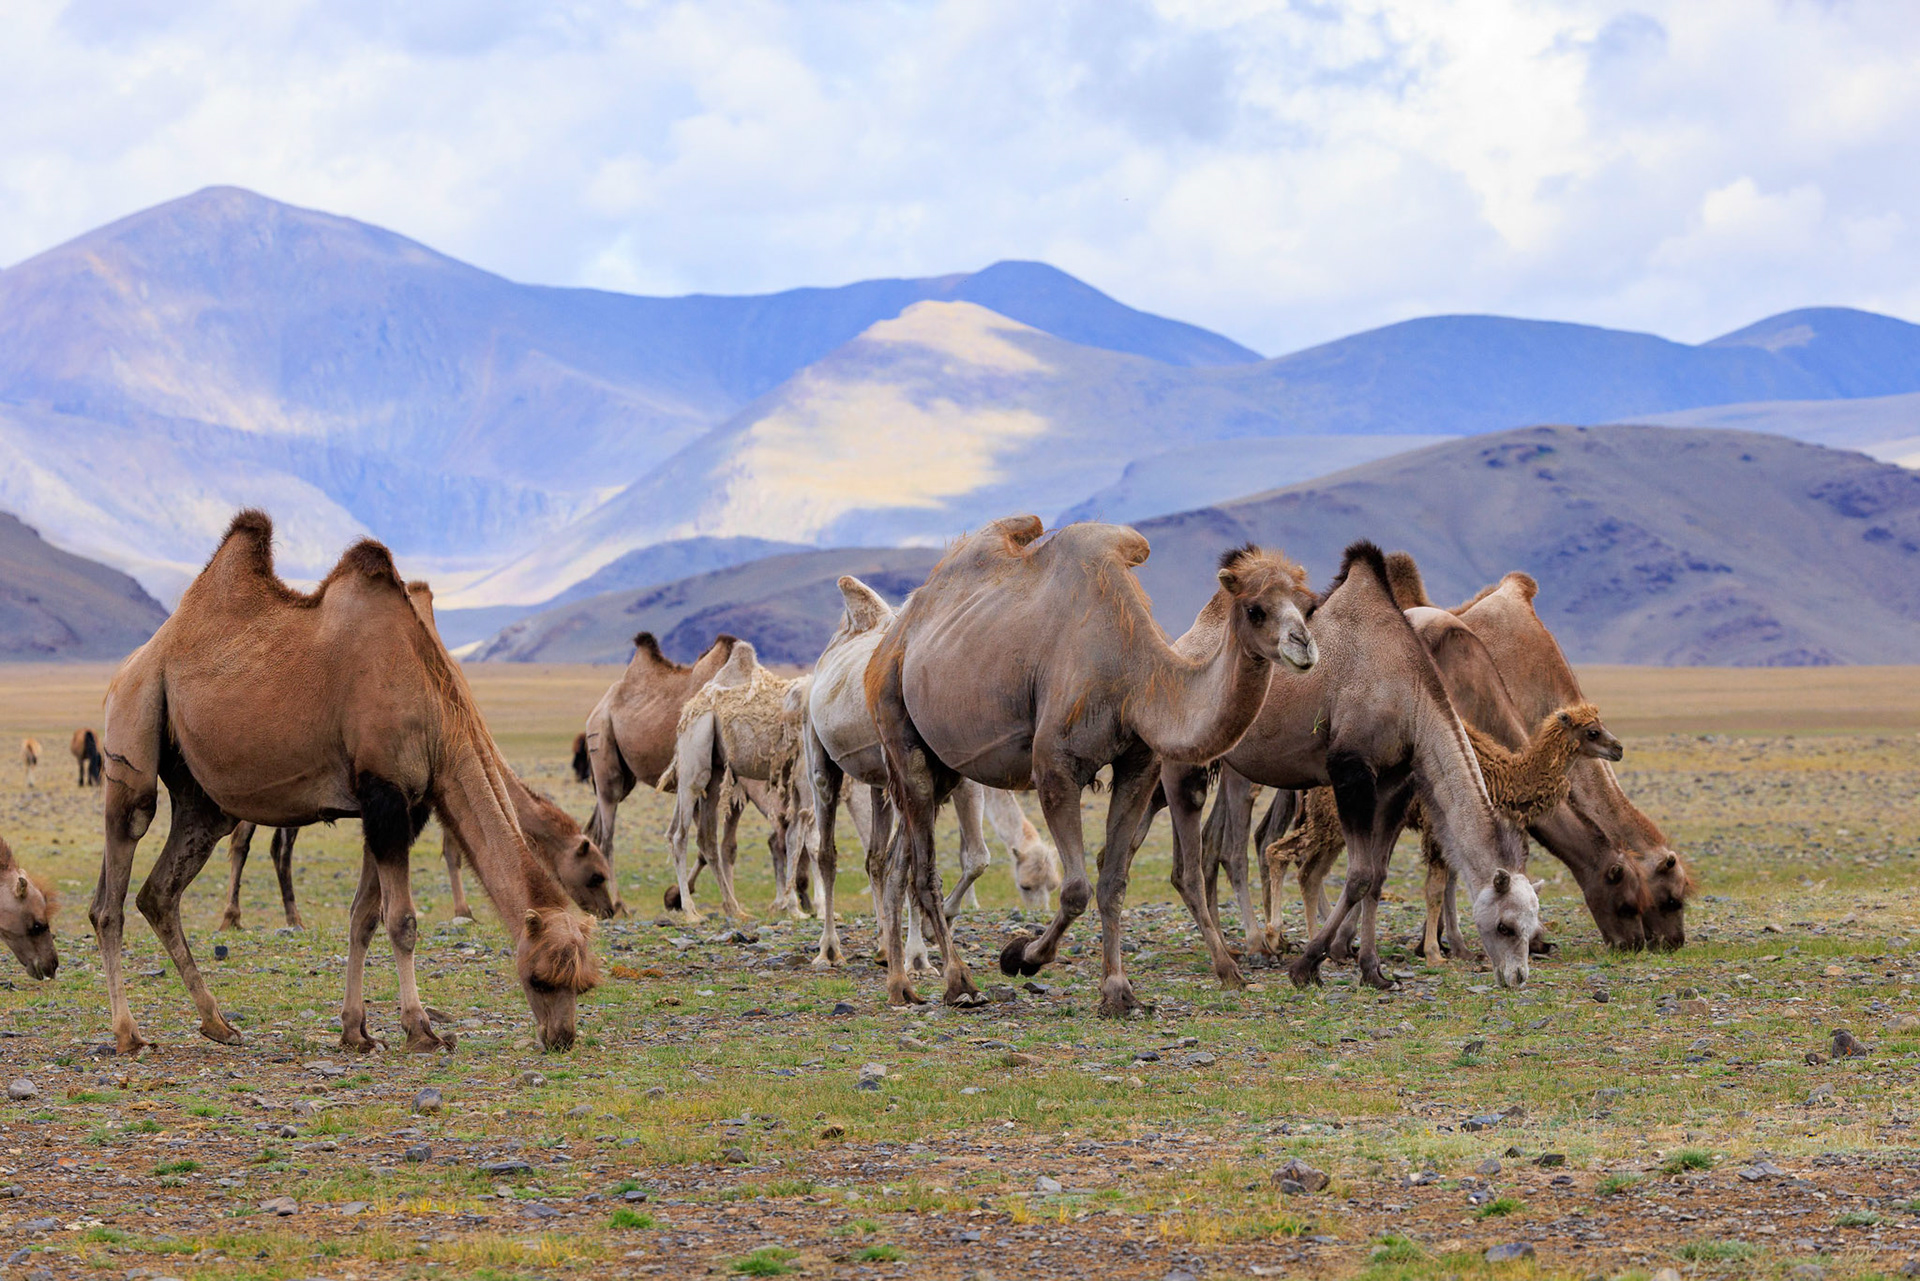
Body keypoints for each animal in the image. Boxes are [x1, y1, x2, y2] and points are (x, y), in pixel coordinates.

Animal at [89, 511, 598, 1056]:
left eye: (583, 984)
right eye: (540, 978)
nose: (561, 1037)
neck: (436, 713)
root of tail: (130, 665)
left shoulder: (404, 807)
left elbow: (363, 917)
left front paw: (356, 1030)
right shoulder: (384, 793)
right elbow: (402, 921)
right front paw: (420, 1029)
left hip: (201, 800)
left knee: (158, 893)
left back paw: (218, 1023)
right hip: (133, 727)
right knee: (112, 894)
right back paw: (128, 1033)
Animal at [581, 632, 740, 909]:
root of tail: (599, 707)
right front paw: (679, 897)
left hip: (624, 776)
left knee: (594, 829)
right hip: (603, 746)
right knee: (607, 835)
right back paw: (619, 904)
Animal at [804, 575, 1062, 972]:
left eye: (1052, 886)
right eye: (1027, 886)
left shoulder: (960, 781)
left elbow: (973, 857)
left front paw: (925, 940)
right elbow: (932, 862)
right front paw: (920, 951)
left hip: (879, 783)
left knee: (875, 857)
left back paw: (884, 946)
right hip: (819, 755)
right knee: (827, 851)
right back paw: (829, 949)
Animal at [867, 518, 1318, 1013]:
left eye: (1309, 606)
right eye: (1256, 609)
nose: (1303, 645)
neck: (1135, 676)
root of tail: (896, 632)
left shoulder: (1139, 767)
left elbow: (1113, 882)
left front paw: (1118, 990)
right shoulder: (1056, 768)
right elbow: (1076, 888)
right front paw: (1021, 956)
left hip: (944, 764)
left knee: (899, 862)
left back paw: (900, 984)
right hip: (897, 726)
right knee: (923, 870)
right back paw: (958, 982)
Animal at [1172, 543, 1541, 993]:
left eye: (1531, 925)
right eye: (1505, 926)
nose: (1517, 976)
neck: (1411, 696)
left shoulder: (1395, 782)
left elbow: (1378, 876)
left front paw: (1373, 970)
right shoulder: (1351, 770)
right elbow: (1360, 873)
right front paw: (1308, 965)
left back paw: (1235, 949)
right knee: (1213, 855)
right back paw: (1251, 951)